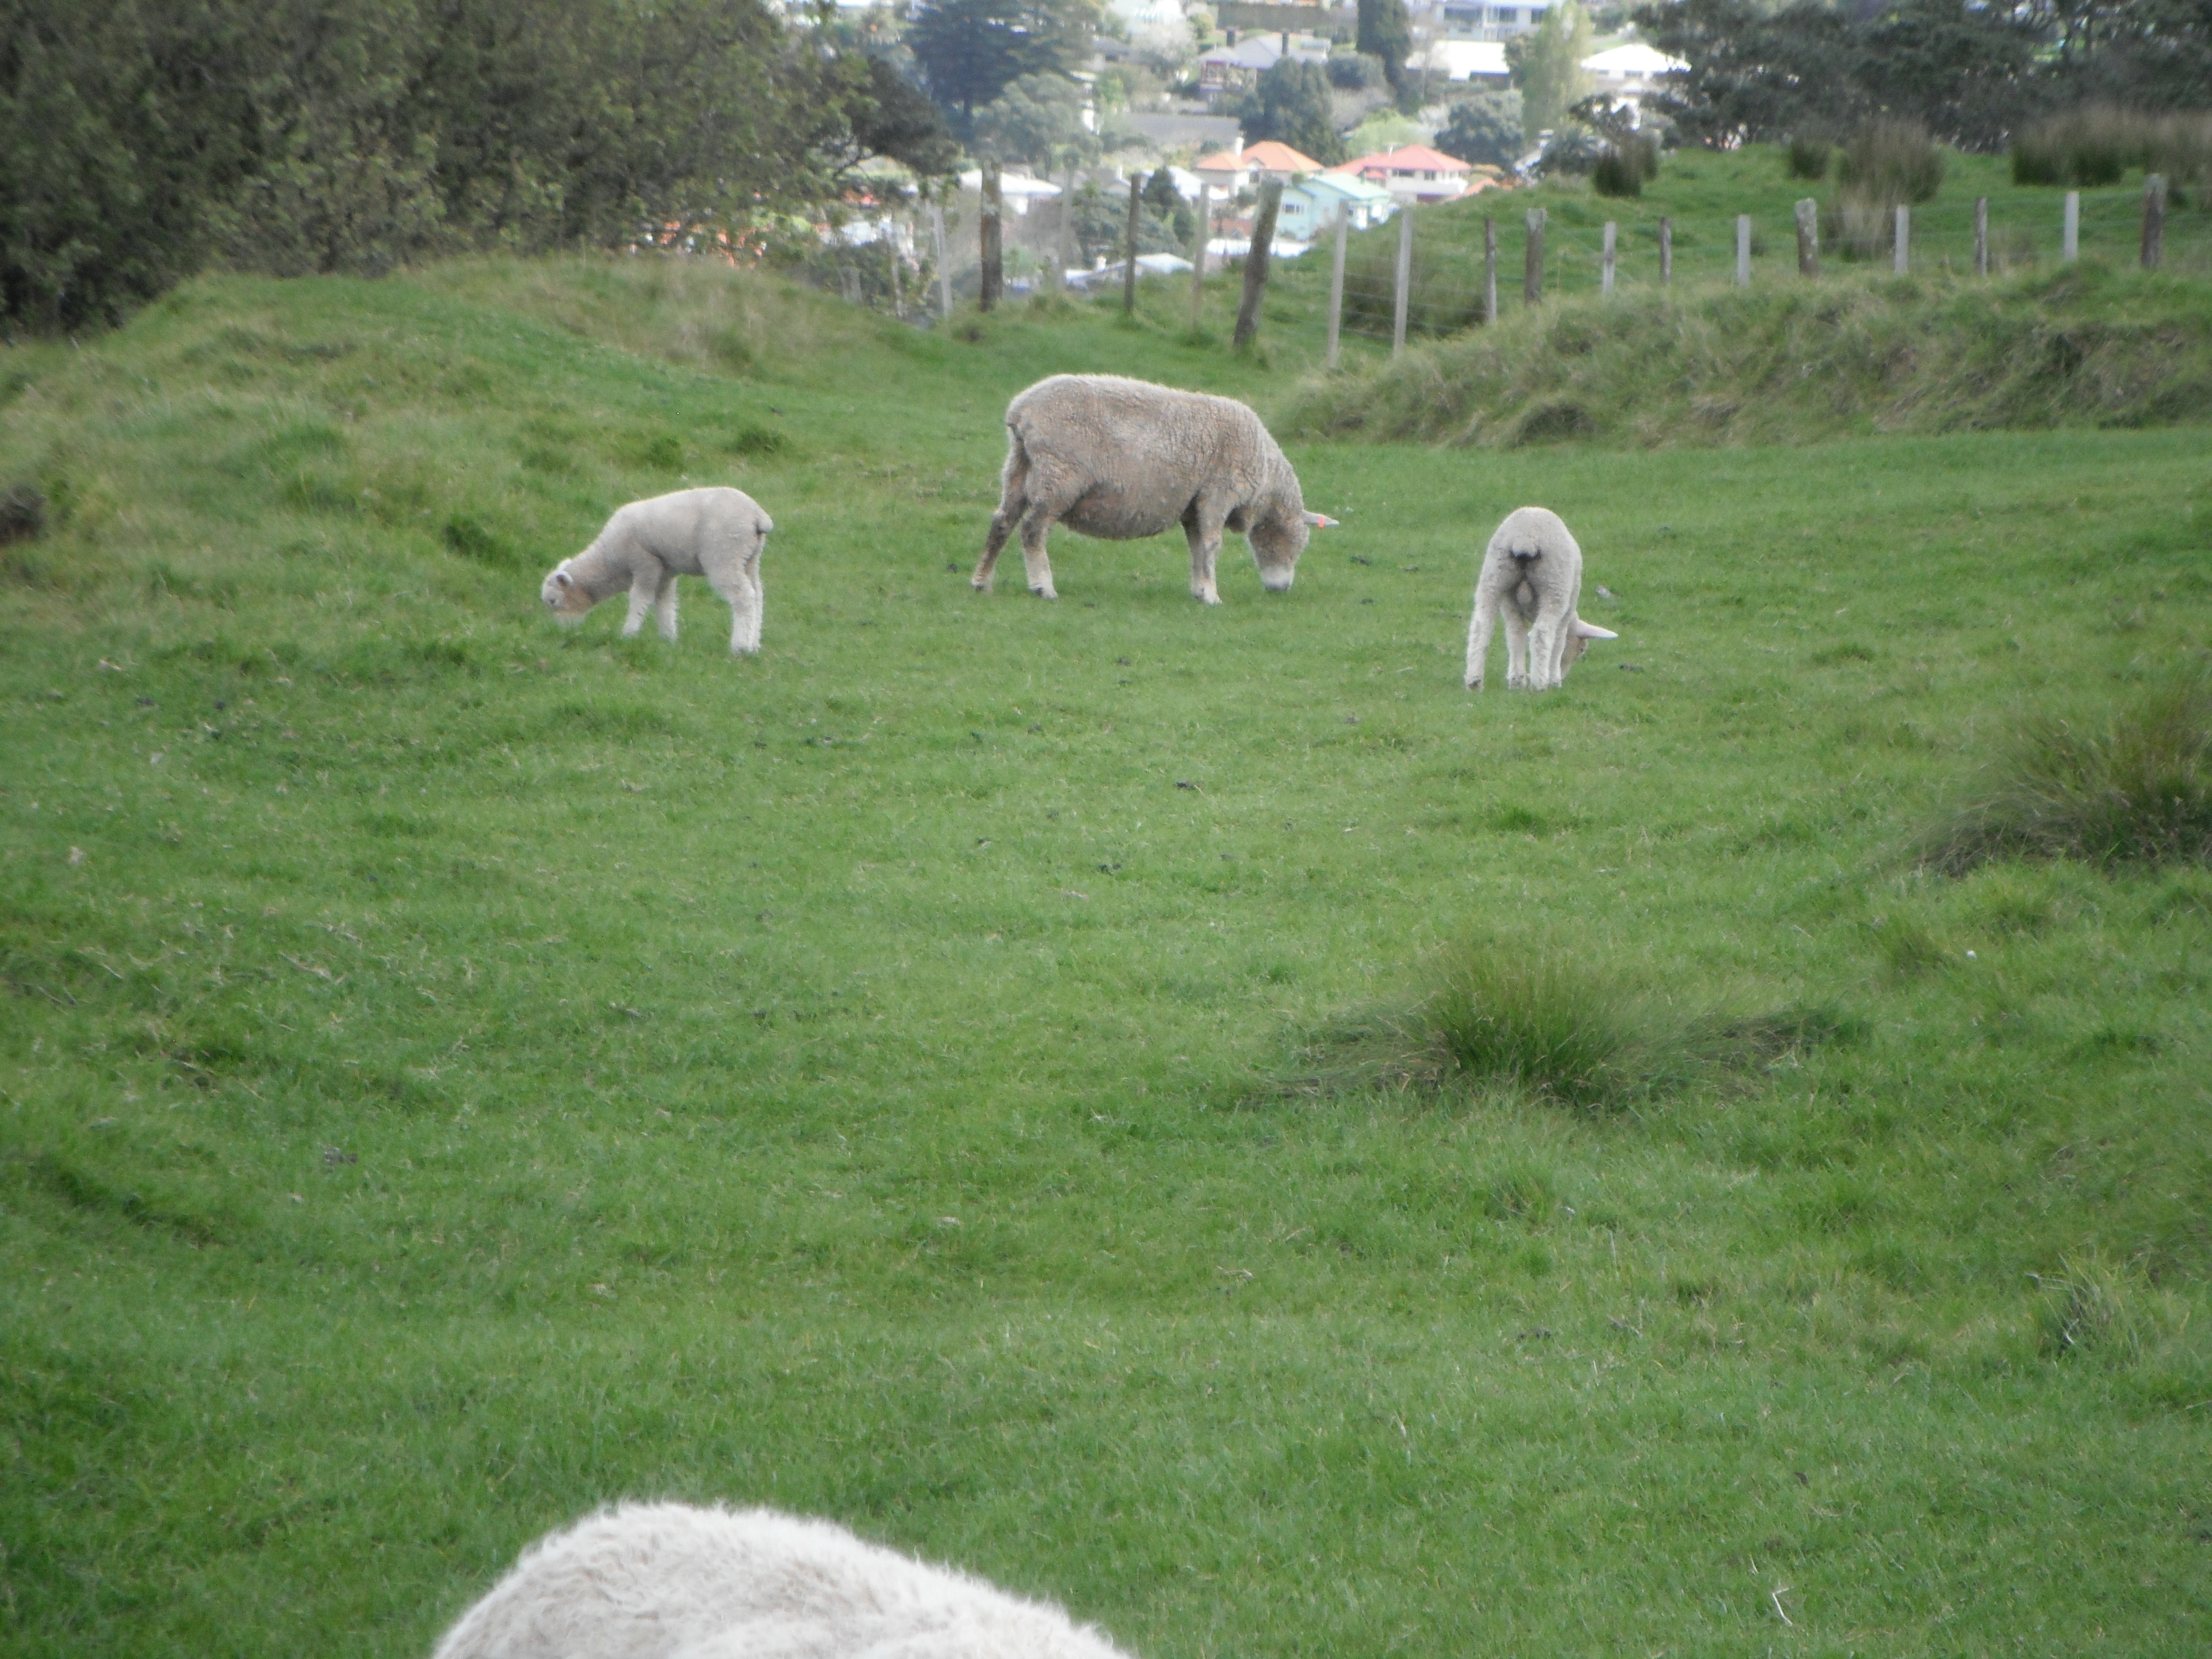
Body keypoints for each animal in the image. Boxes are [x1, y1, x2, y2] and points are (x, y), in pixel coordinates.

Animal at [541, 487, 772, 654]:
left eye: (553, 601)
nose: (562, 633)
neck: (610, 560)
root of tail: (757, 516)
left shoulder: (645, 563)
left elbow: (640, 600)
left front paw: (629, 634)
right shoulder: (666, 572)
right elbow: (665, 604)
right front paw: (668, 638)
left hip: (724, 555)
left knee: (743, 597)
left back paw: (740, 647)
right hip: (750, 560)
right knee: (758, 596)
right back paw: (754, 645)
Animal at [972, 373, 1334, 606]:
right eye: (1294, 544)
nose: (1281, 589)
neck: (1266, 475)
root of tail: (1021, 411)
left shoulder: (1193, 505)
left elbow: (1197, 548)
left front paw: (1199, 590)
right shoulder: (1219, 492)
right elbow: (1212, 545)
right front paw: (1212, 595)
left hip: (1021, 466)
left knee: (1002, 521)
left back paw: (982, 581)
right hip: (1059, 475)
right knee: (1033, 529)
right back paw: (1042, 587)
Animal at [1465, 506, 1617, 692]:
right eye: (1582, 649)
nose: (1563, 677)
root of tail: (1526, 538)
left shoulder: (1510, 604)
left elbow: (1516, 634)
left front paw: (1517, 680)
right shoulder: (1567, 610)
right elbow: (1559, 641)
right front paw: (1554, 679)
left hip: (1495, 575)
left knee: (1481, 626)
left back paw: (1474, 681)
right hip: (1554, 584)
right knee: (1542, 632)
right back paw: (1540, 683)